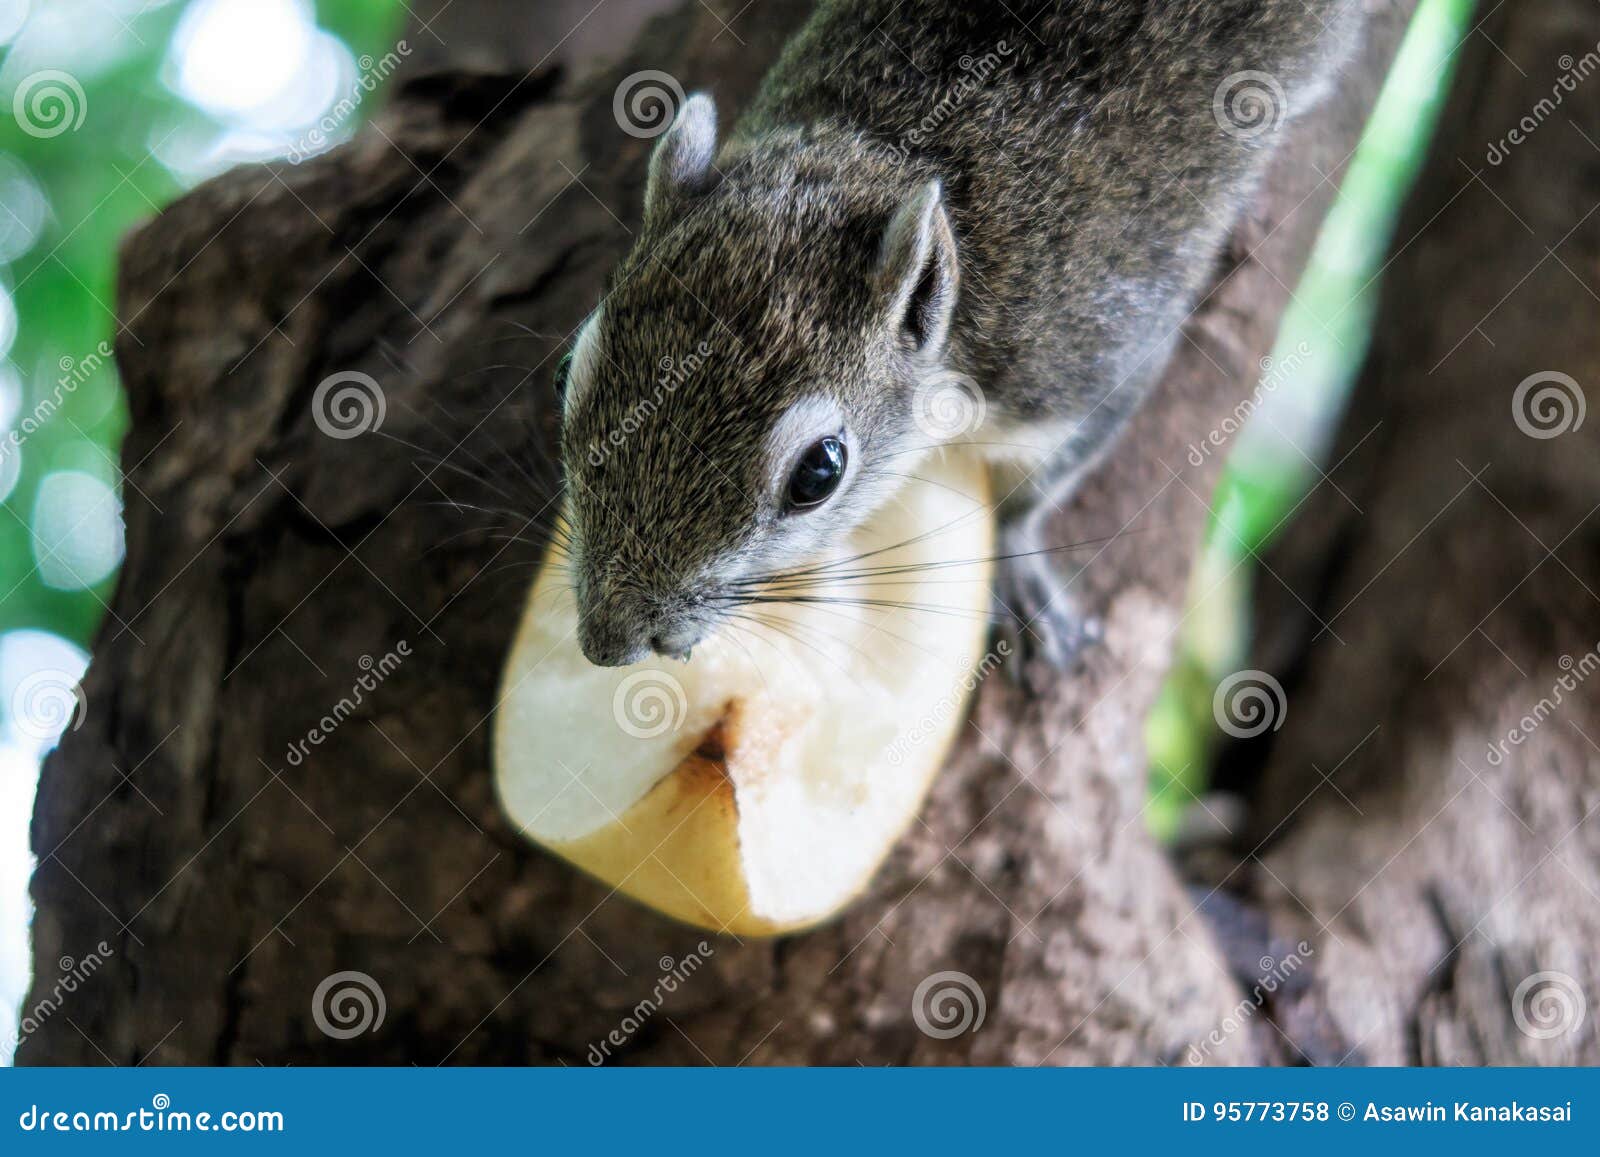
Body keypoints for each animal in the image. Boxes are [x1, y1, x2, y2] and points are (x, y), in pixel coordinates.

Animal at [558, 0, 1359, 682]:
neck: (885, 151)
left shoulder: (1089, 358)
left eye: (819, 473)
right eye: (573, 370)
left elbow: (1043, 486)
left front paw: (1020, 559)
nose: (606, 642)